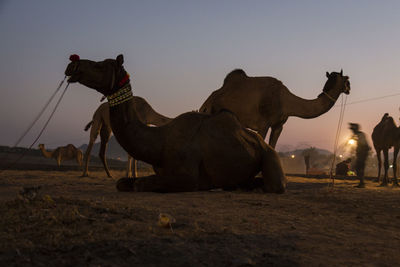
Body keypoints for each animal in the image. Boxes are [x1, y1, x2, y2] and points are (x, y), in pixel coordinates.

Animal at [64, 53, 286, 194]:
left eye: (100, 65)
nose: (73, 65)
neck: (159, 142)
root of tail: (258, 141)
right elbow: (122, 183)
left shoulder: (186, 177)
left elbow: (142, 184)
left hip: (269, 155)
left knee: (275, 185)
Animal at [200, 69, 350, 149]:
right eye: (346, 79)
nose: (349, 88)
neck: (285, 101)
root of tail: (206, 103)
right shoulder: (263, 124)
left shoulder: (278, 125)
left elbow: (272, 147)